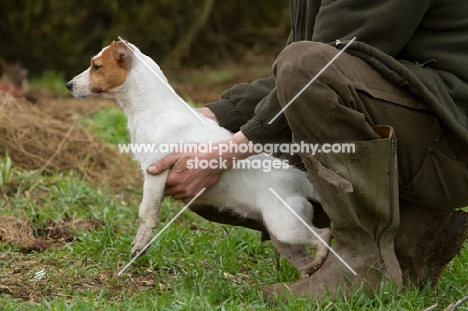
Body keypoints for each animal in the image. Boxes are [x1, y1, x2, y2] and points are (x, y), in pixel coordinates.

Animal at [66, 40, 330, 276]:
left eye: (96, 66)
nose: (68, 85)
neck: (150, 109)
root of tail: (299, 179)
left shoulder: (155, 173)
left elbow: (146, 214)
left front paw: (140, 246)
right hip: (283, 239)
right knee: (305, 260)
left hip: (286, 226)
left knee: (324, 236)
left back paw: (321, 258)